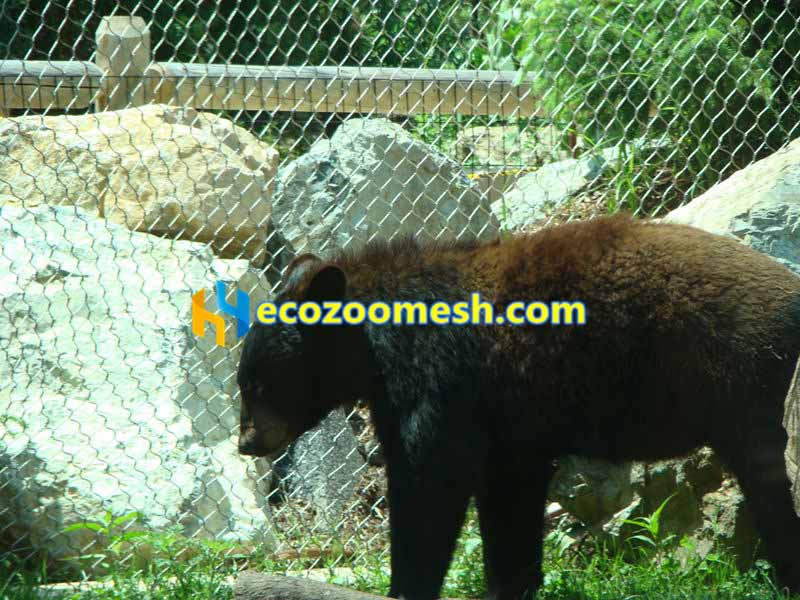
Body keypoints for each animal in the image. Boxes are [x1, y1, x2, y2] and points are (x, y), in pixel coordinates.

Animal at [236, 214, 800, 600]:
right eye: (244, 380)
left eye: (259, 384)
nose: (247, 442)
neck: (379, 348)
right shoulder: (510, 424)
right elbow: (509, 499)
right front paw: (511, 583)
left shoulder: (446, 383)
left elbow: (430, 481)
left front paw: (409, 584)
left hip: (744, 383)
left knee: (768, 481)